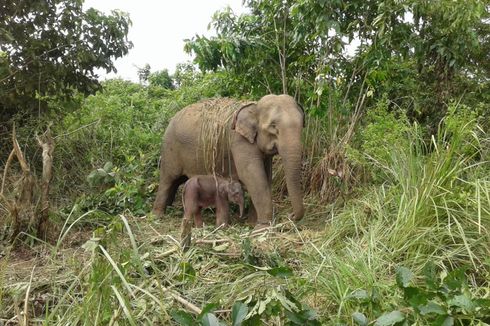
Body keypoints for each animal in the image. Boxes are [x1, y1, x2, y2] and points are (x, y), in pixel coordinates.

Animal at [152, 93, 306, 228]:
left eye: (302, 124)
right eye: (273, 126)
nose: (291, 216)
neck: (254, 106)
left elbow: (266, 177)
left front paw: (252, 224)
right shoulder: (238, 140)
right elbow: (253, 176)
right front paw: (262, 228)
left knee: (176, 182)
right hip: (169, 149)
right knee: (167, 179)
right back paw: (157, 216)